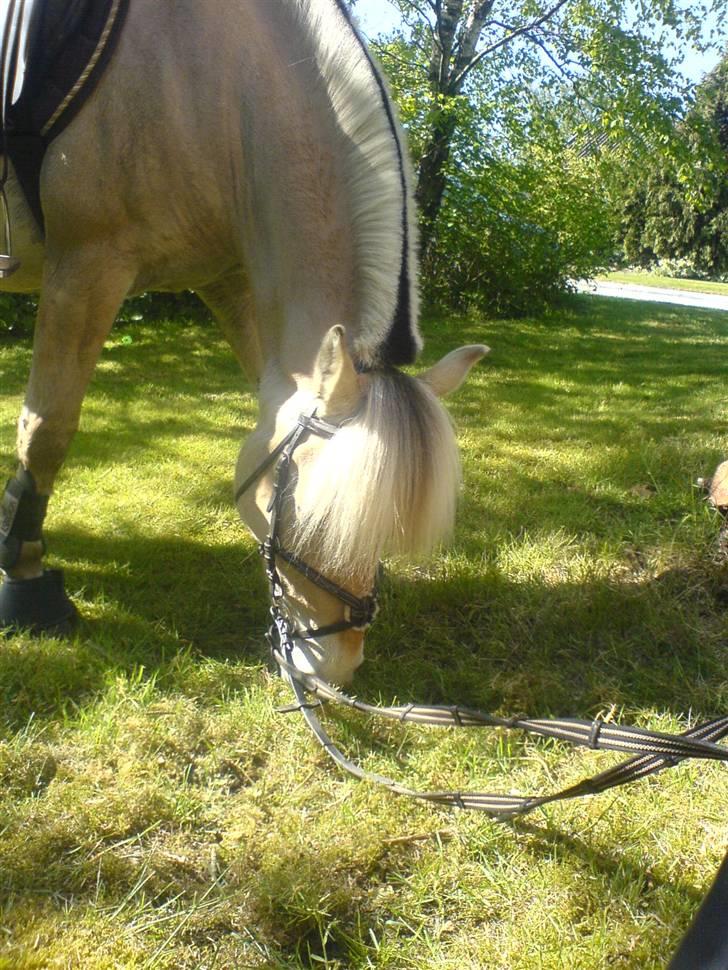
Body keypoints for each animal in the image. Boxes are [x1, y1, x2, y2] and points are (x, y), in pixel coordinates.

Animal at [1, 0, 490, 680]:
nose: (334, 668)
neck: (211, 76)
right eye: (314, 521)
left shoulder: (228, 281)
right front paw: (25, 579)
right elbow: (46, 429)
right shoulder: (85, 265)